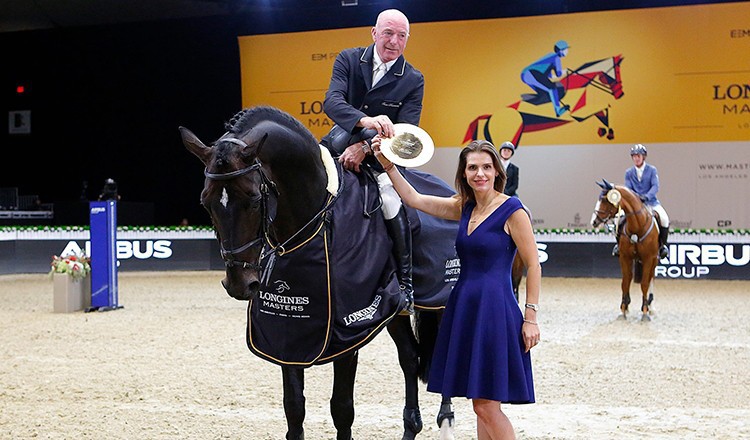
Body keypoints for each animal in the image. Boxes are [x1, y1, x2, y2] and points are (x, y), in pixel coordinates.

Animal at [181, 106, 458, 440]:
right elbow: (294, 409)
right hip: (395, 312)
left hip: (442, 298)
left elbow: (342, 409)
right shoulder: (288, 334)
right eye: (205, 202)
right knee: (409, 357)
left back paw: (445, 417)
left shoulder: (350, 332)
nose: (239, 284)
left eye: (254, 199)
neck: (312, 221)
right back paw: (410, 428)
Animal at [592, 179, 656, 320]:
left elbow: (644, 283)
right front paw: (623, 309)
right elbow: (625, 282)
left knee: (651, 279)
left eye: (605, 200)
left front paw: (645, 311)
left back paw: (651, 307)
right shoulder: (625, 257)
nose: (594, 222)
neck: (637, 226)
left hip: (655, 260)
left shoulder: (649, 258)